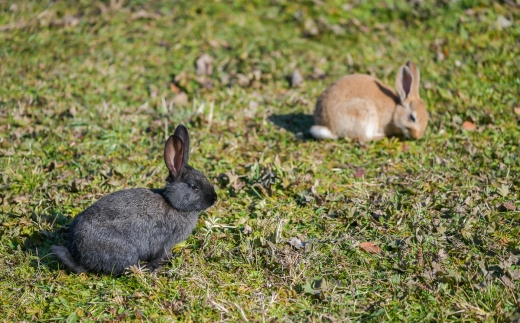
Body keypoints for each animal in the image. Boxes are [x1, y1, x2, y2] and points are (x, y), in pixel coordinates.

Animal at [51, 124, 217, 276]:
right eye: (194, 187)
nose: (214, 199)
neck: (173, 204)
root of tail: (82, 258)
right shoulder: (163, 243)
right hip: (125, 250)